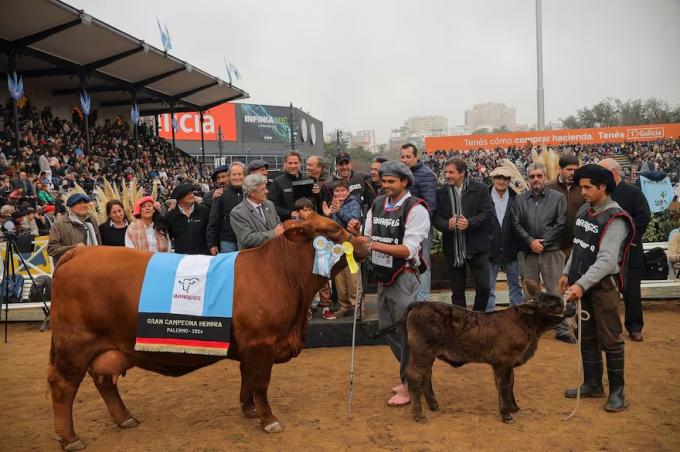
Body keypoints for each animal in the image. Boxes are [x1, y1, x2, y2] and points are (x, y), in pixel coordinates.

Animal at [47, 214, 366, 450]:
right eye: (334, 229)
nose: (363, 244)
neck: (279, 272)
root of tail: (80, 250)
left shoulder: (248, 347)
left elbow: (246, 379)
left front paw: (248, 409)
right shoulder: (261, 343)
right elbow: (260, 383)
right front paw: (268, 419)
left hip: (106, 348)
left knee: (104, 380)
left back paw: (125, 418)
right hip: (73, 346)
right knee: (63, 386)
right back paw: (70, 438)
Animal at [404, 282, 572, 424]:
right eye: (554, 305)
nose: (572, 307)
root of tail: (421, 304)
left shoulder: (509, 362)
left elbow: (510, 383)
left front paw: (513, 407)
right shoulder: (503, 361)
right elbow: (504, 385)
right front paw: (506, 414)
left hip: (428, 354)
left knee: (426, 375)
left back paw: (433, 405)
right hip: (421, 351)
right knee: (414, 375)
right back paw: (419, 415)